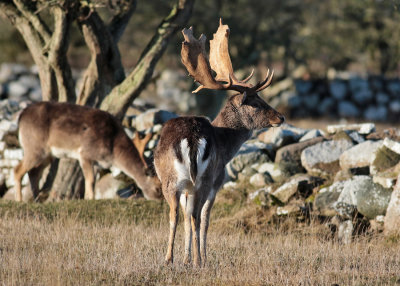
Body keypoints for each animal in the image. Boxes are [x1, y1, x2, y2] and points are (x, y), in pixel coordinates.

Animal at [13, 101, 162, 202]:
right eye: (157, 187)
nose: (160, 200)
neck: (113, 149)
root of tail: (21, 117)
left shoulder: (97, 163)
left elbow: (92, 182)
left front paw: (88, 198)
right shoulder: (85, 153)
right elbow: (89, 181)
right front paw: (90, 199)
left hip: (48, 155)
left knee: (33, 172)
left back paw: (36, 200)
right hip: (34, 147)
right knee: (17, 170)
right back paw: (19, 200)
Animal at [154, 19, 284, 266]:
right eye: (257, 102)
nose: (280, 117)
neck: (225, 145)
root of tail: (191, 138)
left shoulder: (187, 189)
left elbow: (186, 218)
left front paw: (185, 258)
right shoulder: (218, 182)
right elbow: (204, 220)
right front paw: (201, 257)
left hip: (172, 180)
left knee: (175, 215)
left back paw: (168, 259)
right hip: (204, 180)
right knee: (196, 217)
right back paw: (198, 261)